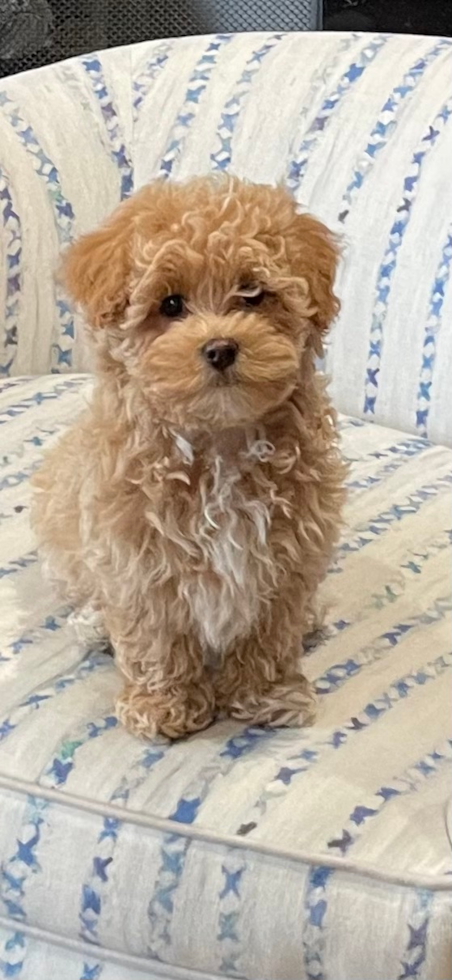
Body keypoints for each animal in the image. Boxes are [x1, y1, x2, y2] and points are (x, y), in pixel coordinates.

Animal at [31, 178, 346, 744]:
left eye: (253, 294)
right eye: (171, 304)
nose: (221, 348)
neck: (219, 443)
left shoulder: (286, 557)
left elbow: (269, 632)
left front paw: (265, 697)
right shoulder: (137, 557)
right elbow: (156, 637)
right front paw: (164, 707)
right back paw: (94, 623)